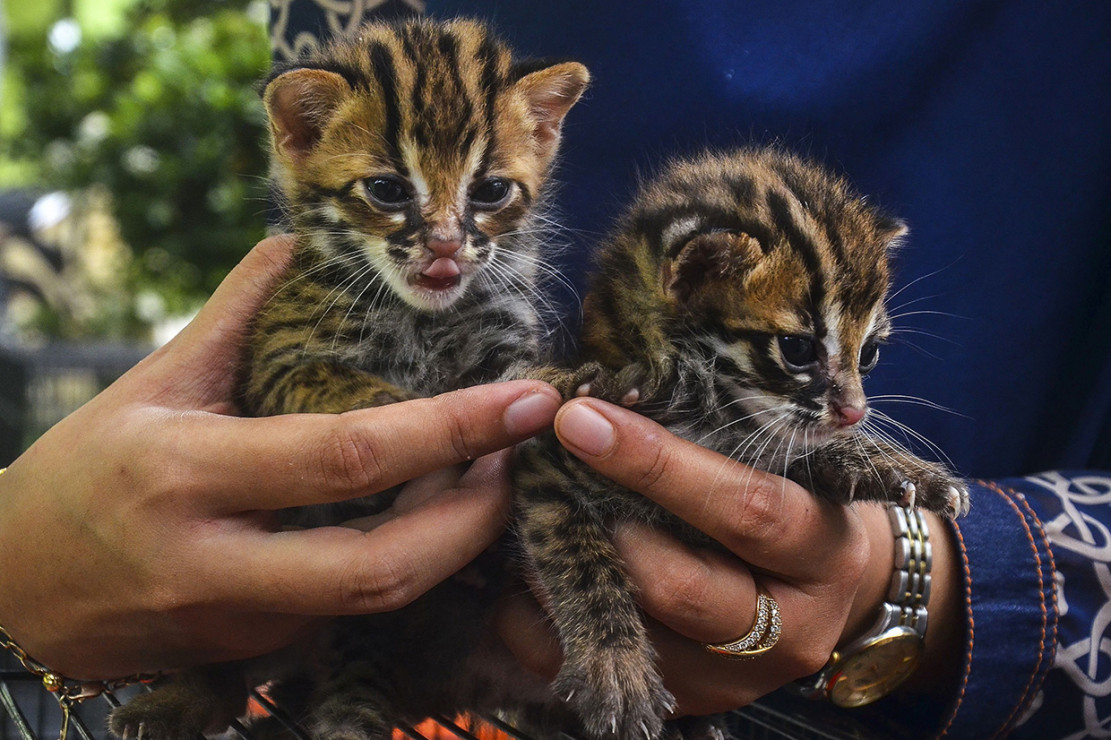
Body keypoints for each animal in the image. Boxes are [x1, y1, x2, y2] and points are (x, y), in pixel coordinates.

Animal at [108, 17, 591, 737]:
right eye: (388, 190)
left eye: (489, 192)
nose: (446, 244)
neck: (420, 317)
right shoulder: (277, 364)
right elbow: (343, 385)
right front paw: (405, 408)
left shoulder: (503, 341)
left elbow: (524, 375)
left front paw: (576, 383)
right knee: (224, 668)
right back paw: (177, 701)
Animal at [513, 145, 973, 737]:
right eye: (797, 349)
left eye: (868, 353)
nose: (855, 413)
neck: (714, 414)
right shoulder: (550, 455)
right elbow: (580, 560)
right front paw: (616, 668)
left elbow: (803, 446)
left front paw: (901, 468)